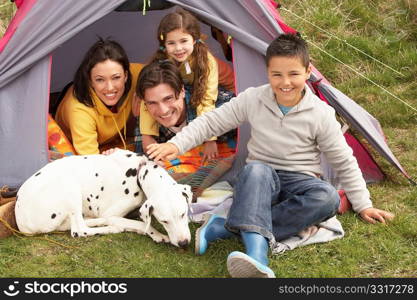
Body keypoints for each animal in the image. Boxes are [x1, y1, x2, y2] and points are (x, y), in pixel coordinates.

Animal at [13, 149, 193, 247]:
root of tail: (22, 223)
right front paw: (156, 233)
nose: (183, 243)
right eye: (164, 221)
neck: (140, 170)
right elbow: (141, 223)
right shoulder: (112, 213)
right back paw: (111, 227)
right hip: (70, 185)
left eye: (183, 214)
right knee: (79, 230)